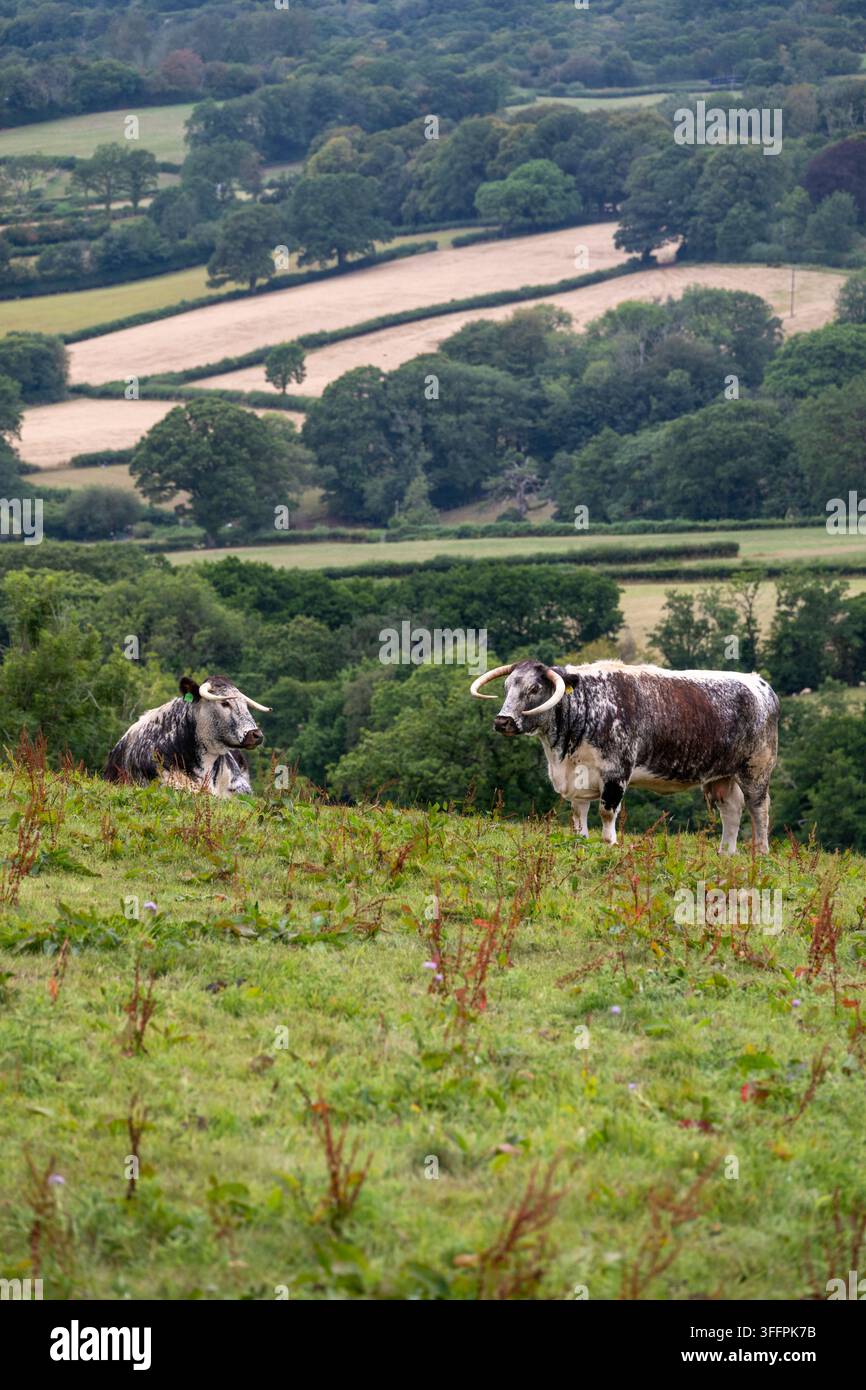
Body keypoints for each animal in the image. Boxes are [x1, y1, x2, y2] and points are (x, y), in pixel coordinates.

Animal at [470, 659, 779, 853]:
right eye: (507, 686)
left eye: (534, 688)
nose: (503, 721)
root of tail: (758, 682)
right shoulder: (578, 775)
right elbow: (578, 813)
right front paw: (581, 841)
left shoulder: (615, 772)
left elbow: (607, 811)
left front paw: (610, 843)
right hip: (721, 775)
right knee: (731, 809)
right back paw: (726, 852)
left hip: (756, 769)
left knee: (758, 808)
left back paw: (761, 852)